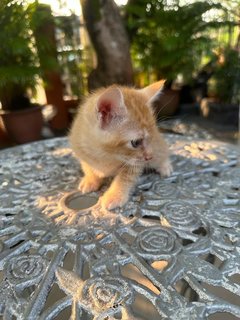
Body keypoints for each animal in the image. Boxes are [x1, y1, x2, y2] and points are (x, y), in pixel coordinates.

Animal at [69, 80, 172, 210]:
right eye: (136, 142)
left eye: (150, 138)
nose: (149, 156)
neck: (105, 154)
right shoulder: (80, 150)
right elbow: (87, 166)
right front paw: (90, 179)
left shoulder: (135, 163)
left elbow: (125, 178)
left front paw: (114, 195)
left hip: (158, 149)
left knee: (163, 153)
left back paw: (165, 166)